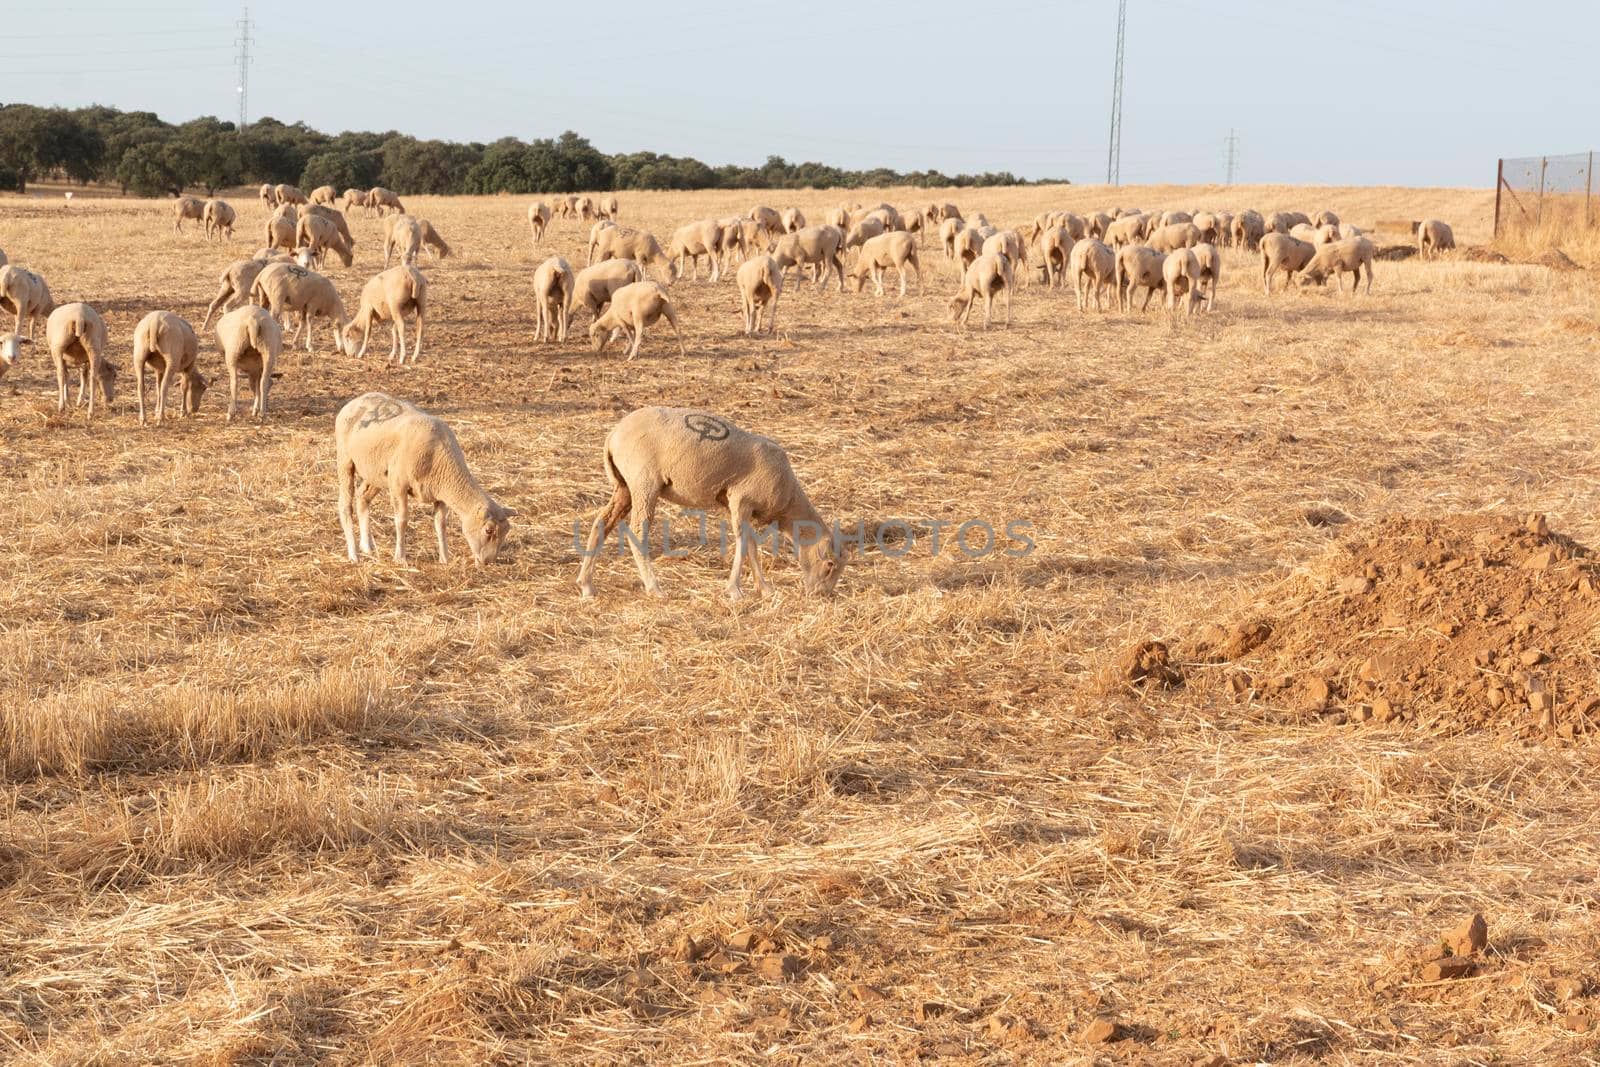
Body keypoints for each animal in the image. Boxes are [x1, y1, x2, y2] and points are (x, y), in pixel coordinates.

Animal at [332, 391, 512, 566]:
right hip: (345, 460)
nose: (488, 562)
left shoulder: (440, 494)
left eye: (506, 531)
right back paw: (353, 555)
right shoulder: (398, 485)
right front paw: (400, 558)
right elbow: (402, 520)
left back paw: (367, 547)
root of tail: (355, 400)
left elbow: (441, 524)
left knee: (362, 497)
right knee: (345, 505)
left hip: (376, 472)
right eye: (488, 530)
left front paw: (445, 559)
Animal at [579, 404, 851, 601]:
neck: (788, 502)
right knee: (637, 532)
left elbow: (751, 545)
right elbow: (743, 544)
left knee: (601, 524)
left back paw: (586, 585)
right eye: (830, 565)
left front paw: (764, 588)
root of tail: (613, 436)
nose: (821, 596)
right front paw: (735, 591)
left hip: (624, 486)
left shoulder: (737, 506)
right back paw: (654, 587)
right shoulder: (741, 499)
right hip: (643, 482)